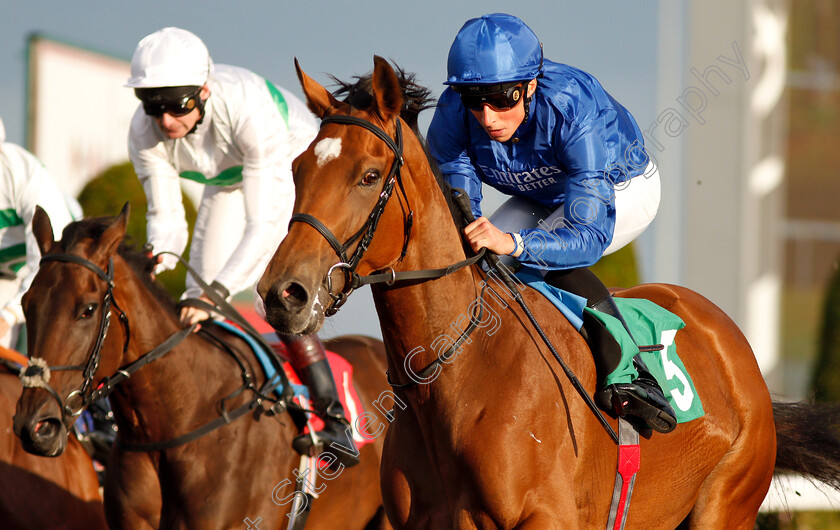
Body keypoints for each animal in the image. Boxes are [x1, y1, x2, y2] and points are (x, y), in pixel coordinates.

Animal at [258, 55, 840, 524]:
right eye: (298, 168)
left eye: (369, 175)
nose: (283, 293)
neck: (458, 373)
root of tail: (737, 352)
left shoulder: (546, 518)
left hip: (727, 504)